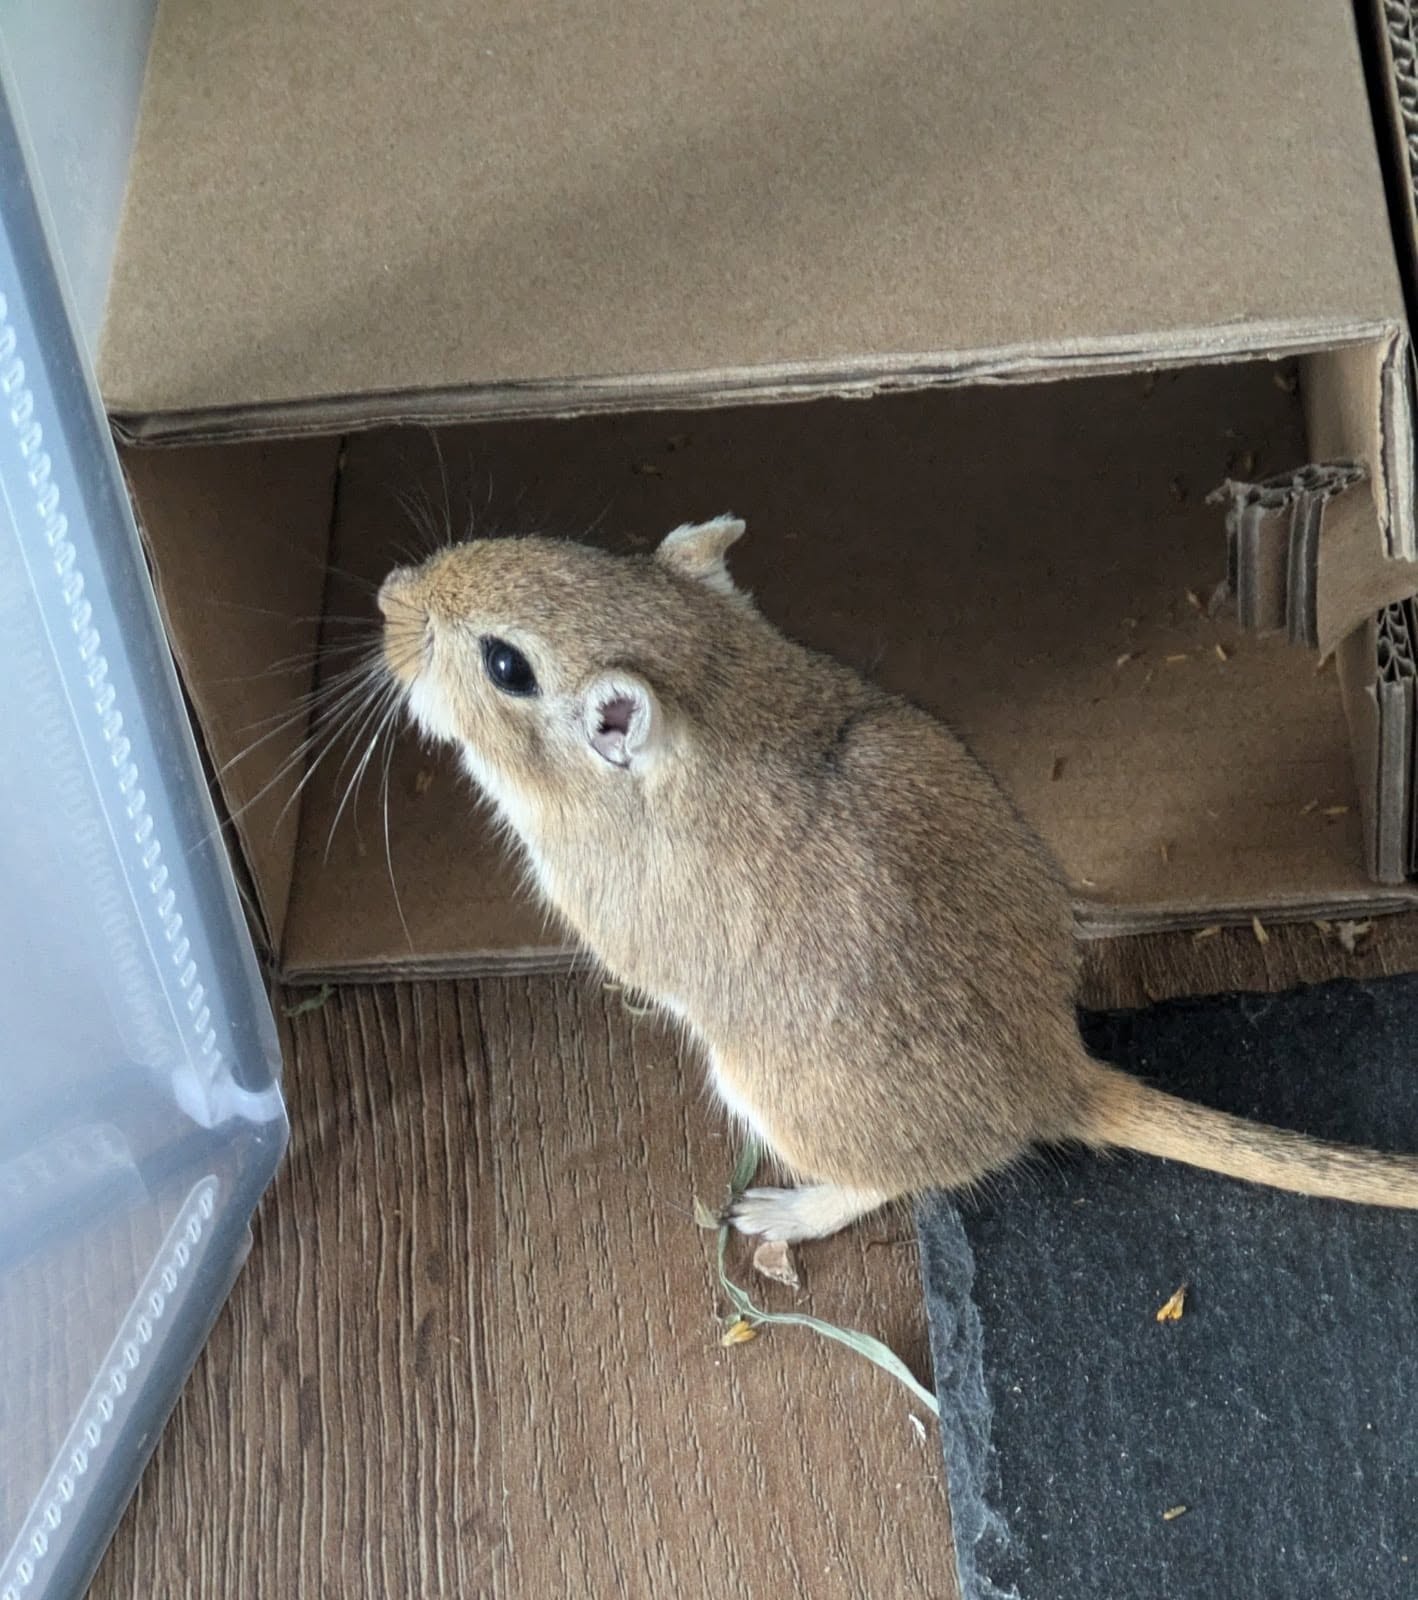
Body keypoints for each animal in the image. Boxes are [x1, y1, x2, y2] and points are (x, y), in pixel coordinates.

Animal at [377, 516, 1418, 1241]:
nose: (388, 594)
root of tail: (1059, 1079)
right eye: (582, 551)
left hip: (764, 1093)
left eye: (504, 664)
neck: (720, 683)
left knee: (894, 1183)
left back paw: (775, 1218)